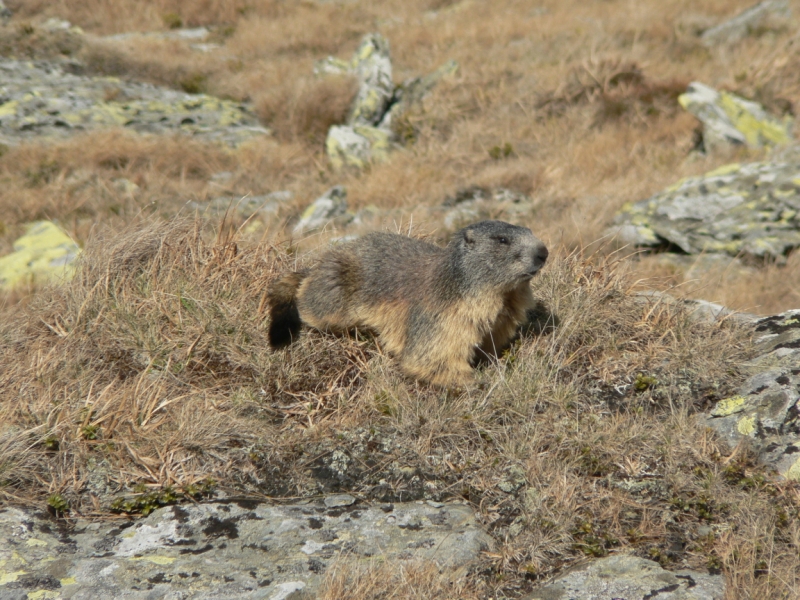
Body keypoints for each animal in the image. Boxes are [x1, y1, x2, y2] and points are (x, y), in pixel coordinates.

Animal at [268, 220, 548, 385]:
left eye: (530, 230)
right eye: (502, 240)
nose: (543, 251)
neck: (504, 296)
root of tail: (315, 269)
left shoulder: (504, 317)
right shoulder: (445, 315)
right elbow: (432, 354)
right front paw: (477, 381)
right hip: (331, 299)